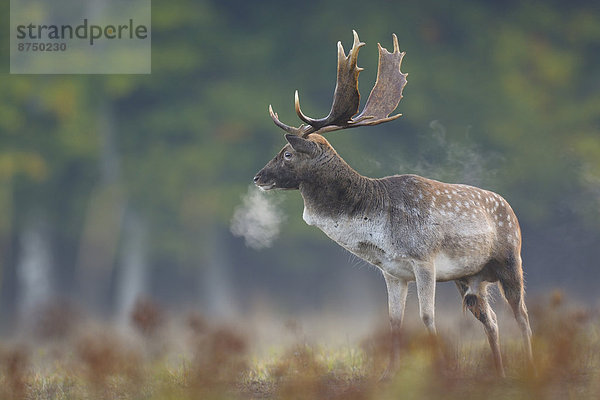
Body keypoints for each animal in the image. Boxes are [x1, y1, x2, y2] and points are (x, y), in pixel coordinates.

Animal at [253, 30, 536, 378]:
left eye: (287, 154)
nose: (258, 177)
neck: (378, 227)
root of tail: (510, 208)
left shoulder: (424, 259)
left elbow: (427, 317)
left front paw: (441, 370)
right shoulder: (392, 272)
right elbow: (394, 322)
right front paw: (389, 374)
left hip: (512, 260)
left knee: (523, 318)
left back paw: (530, 366)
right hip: (468, 277)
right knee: (492, 320)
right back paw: (499, 371)